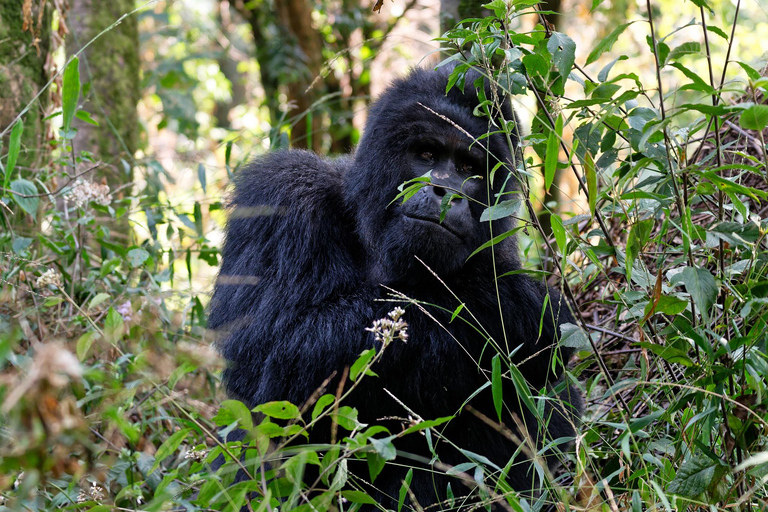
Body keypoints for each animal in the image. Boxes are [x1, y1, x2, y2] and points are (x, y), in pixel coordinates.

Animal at [210, 67, 584, 508]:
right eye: (426, 154)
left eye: (470, 167)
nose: (446, 192)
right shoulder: (279, 192)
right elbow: (272, 359)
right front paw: (510, 310)